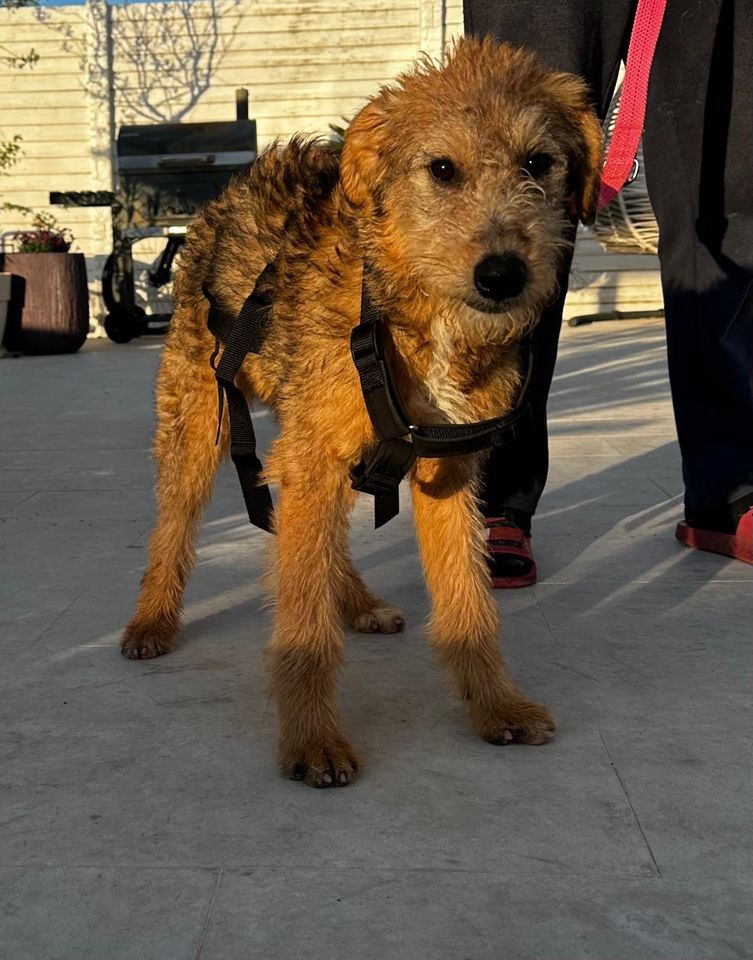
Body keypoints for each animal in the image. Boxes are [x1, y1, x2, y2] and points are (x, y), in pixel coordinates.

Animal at [120, 37, 604, 788]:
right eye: (442, 168)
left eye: (538, 163)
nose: (501, 276)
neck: (408, 310)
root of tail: (234, 186)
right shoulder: (313, 457)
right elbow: (302, 624)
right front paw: (312, 740)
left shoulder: (445, 470)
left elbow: (469, 604)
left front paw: (494, 704)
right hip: (200, 422)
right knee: (174, 528)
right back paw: (152, 620)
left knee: (316, 541)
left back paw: (356, 602)